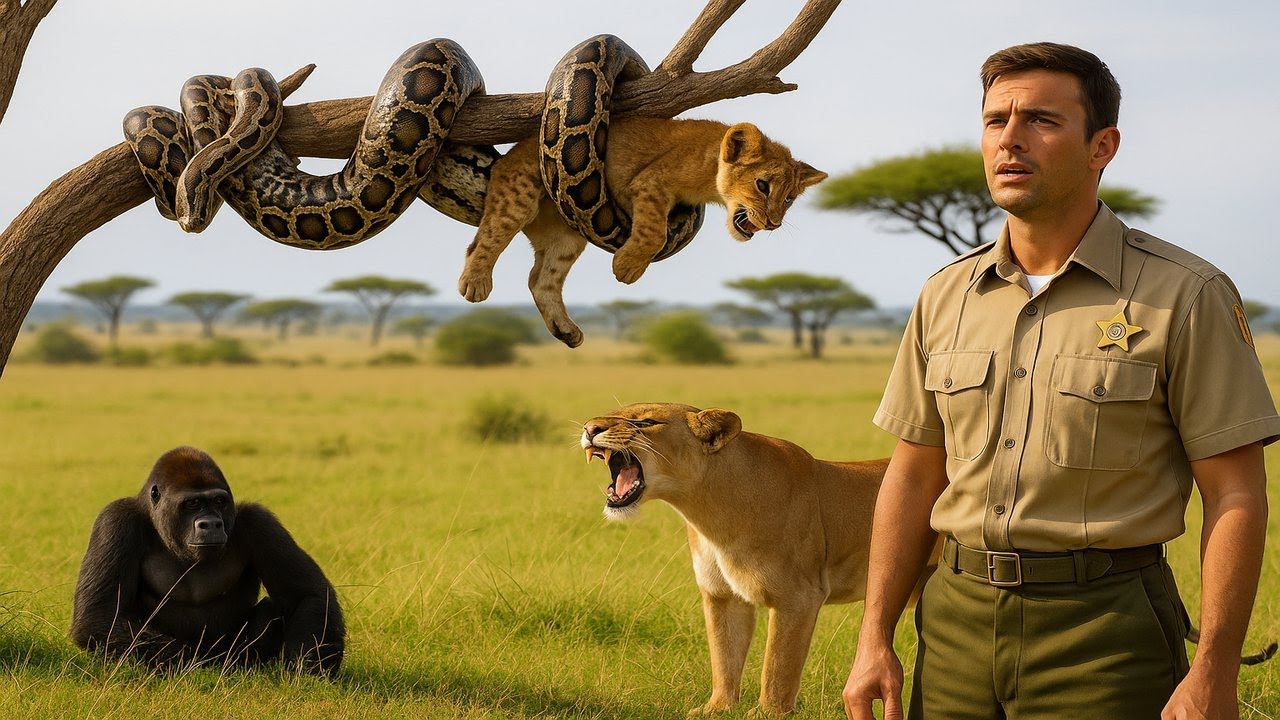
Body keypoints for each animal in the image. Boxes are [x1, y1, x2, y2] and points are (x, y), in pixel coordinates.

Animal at [70, 446, 344, 676]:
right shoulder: (115, 520)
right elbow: (101, 616)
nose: (211, 523)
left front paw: (309, 667)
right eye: (192, 503)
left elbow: (307, 594)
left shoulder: (259, 522)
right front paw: (190, 662)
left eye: (218, 502)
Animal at [580, 402, 932, 715]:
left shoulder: (799, 596)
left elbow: (778, 664)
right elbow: (724, 655)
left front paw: (769, 712)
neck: (708, 512)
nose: (590, 428)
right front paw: (717, 708)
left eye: (646, 422)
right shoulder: (721, 595)